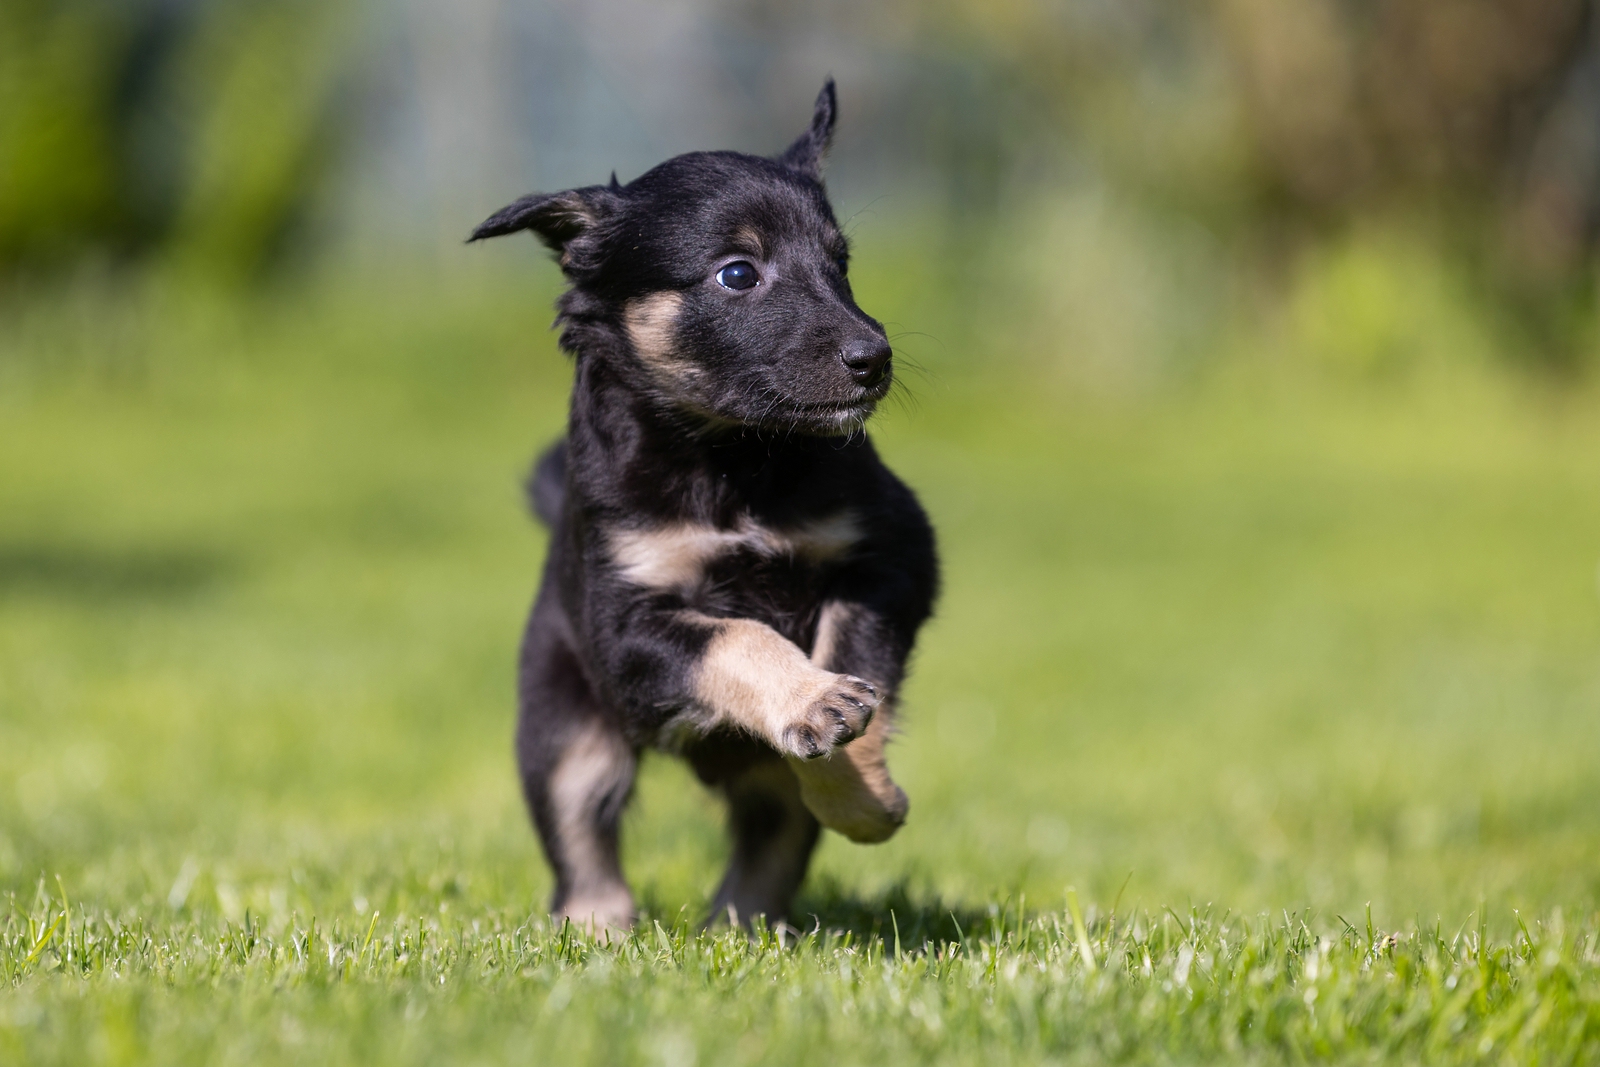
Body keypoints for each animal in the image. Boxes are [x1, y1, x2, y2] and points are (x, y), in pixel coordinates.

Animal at [467, 81, 934, 934]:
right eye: (738, 274)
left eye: (840, 263)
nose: (874, 360)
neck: (731, 459)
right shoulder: (627, 629)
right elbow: (738, 637)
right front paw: (815, 702)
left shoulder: (892, 558)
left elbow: (851, 664)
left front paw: (863, 797)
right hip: (564, 728)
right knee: (582, 833)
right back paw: (599, 932)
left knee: (772, 834)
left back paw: (747, 926)